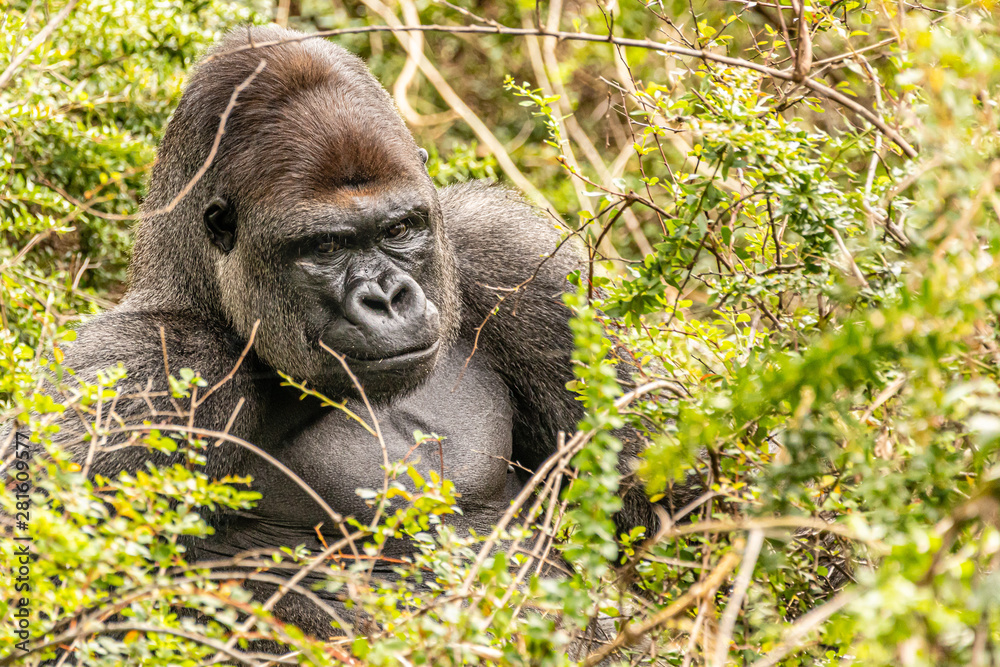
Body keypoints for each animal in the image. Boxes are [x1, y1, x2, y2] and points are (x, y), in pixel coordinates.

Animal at [25, 25, 674, 641]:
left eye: (401, 229)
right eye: (326, 246)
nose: (385, 298)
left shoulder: (514, 260)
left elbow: (658, 502)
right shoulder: (149, 373)